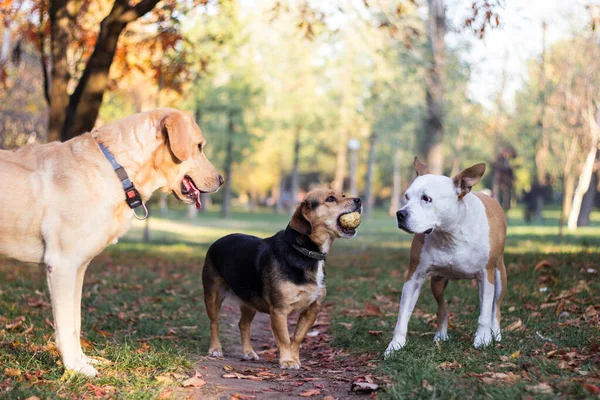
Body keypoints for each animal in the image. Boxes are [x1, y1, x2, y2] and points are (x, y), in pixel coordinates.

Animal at [0, 108, 223, 376]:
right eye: (199, 146)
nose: (221, 180)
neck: (119, 170)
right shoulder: (62, 265)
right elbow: (65, 324)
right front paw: (75, 367)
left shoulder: (77, 268)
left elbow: (75, 321)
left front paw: (82, 361)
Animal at [202, 190, 360, 368]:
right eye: (330, 198)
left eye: (343, 195)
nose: (359, 200)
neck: (304, 251)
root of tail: (218, 240)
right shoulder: (279, 310)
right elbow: (284, 338)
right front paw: (287, 361)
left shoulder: (312, 309)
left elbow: (297, 337)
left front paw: (294, 358)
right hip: (213, 295)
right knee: (214, 322)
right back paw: (215, 349)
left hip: (249, 301)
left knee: (243, 324)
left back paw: (248, 352)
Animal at [384, 156, 506, 356]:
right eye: (407, 196)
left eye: (426, 198)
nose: (400, 213)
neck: (451, 233)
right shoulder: (414, 277)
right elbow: (402, 317)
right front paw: (395, 345)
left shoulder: (485, 275)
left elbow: (485, 313)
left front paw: (483, 338)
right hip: (437, 281)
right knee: (442, 307)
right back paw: (441, 334)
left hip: (499, 275)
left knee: (495, 307)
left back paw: (495, 332)